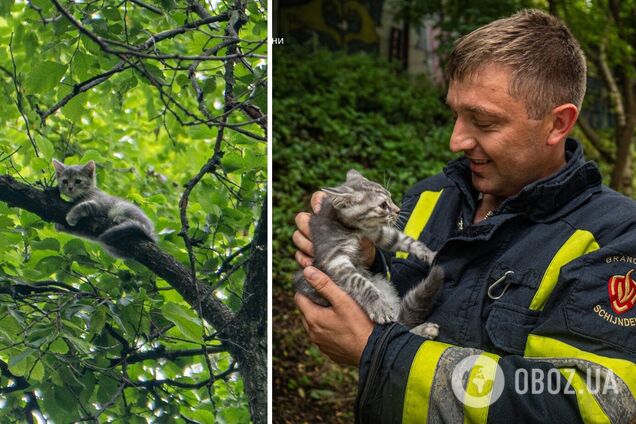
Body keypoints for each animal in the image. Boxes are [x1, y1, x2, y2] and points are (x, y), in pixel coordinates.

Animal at [294, 169, 440, 338]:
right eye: (383, 205)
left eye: (390, 196)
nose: (398, 210)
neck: (355, 229)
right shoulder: (334, 257)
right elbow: (359, 282)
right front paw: (378, 304)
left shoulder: (377, 233)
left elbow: (405, 240)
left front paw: (429, 253)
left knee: (397, 322)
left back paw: (424, 329)